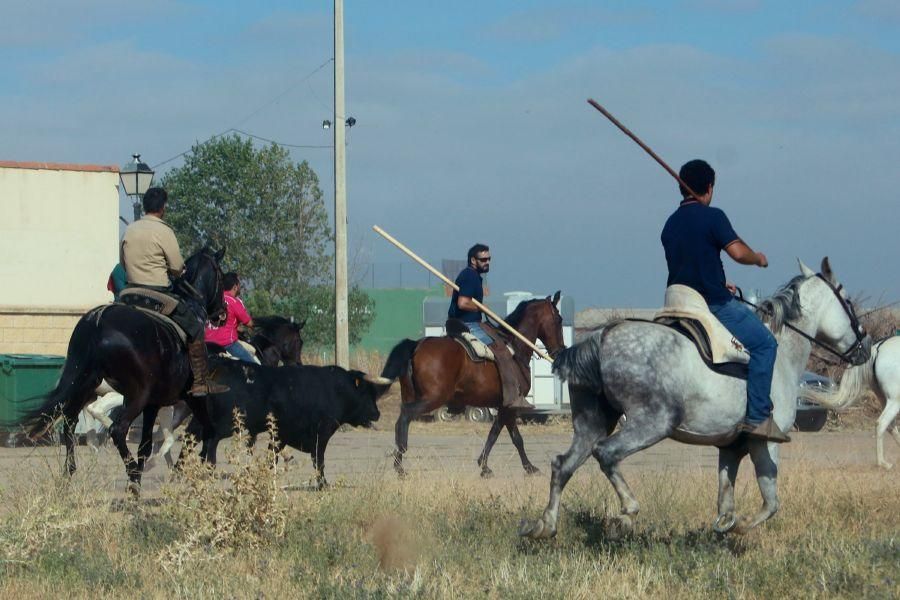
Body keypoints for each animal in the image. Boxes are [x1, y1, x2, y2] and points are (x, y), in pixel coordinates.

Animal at [17, 246, 227, 494]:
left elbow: (146, 445)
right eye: (221, 276)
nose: (223, 313)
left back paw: (70, 474)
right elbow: (208, 430)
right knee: (117, 429)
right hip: (135, 395)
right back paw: (132, 474)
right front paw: (206, 468)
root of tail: (96, 322)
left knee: (69, 425)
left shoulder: (154, 404)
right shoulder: (192, 397)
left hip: (84, 388)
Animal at [183, 358, 390, 486]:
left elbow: (272, 458)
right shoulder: (321, 433)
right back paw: (209, 470)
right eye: (366, 393)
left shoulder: (282, 435)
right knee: (210, 443)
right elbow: (319, 460)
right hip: (225, 424)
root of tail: (218, 366)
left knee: (196, 439)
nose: (377, 414)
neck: (336, 389)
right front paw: (323, 483)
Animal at [378, 290, 564, 478]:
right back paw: (400, 463)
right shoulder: (509, 407)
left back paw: (399, 460)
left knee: (401, 420)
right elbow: (515, 438)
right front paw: (529, 467)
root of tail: (417, 345)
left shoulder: (502, 406)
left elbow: (495, 433)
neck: (515, 347)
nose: (560, 352)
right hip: (433, 398)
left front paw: (484, 465)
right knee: (405, 415)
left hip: (410, 394)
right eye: (559, 320)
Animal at [520, 258, 872, 540]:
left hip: (592, 423)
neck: (782, 354)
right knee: (606, 454)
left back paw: (544, 526)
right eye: (848, 301)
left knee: (563, 465)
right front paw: (740, 527)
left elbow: (725, 498)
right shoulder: (765, 442)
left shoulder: (730, 447)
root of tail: (601, 336)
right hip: (651, 424)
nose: (864, 347)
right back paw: (626, 514)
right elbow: (771, 502)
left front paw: (724, 527)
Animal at [800, 338, 900, 468]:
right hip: (894, 400)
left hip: (884, 398)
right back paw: (883, 463)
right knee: (882, 423)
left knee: (890, 426)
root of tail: (877, 348)